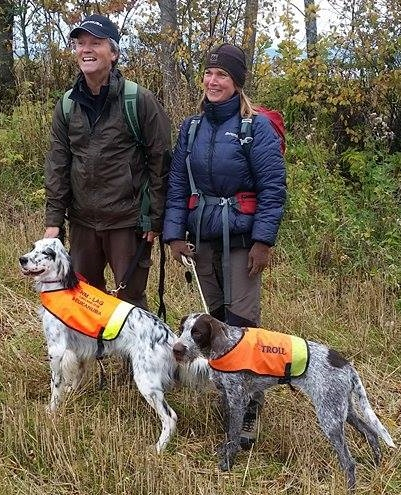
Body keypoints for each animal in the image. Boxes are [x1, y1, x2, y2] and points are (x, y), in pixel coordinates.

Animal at [18, 239, 209, 454]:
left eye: (47, 252)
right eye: (34, 247)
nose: (22, 259)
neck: (62, 285)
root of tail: (171, 337)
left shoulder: (56, 349)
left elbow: (55, 384)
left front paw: (51, 410)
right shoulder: (79, 350)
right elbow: (75, 377)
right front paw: (70, 393)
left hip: (146, 382)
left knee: (170, 417)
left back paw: (158, 448)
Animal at [173, 314, 396, 492]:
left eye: (197, 332)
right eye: (181, 329)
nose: (176, 349)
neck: (227, 345)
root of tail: (347, 365)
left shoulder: (238, 399)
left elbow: (234, 436)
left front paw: (227, 463)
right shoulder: (229, 398)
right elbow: (229, 433)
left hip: (330, 418)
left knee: (349, 462)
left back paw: (350, 487)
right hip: (342, 409)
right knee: (371, 433)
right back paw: (376, 465)